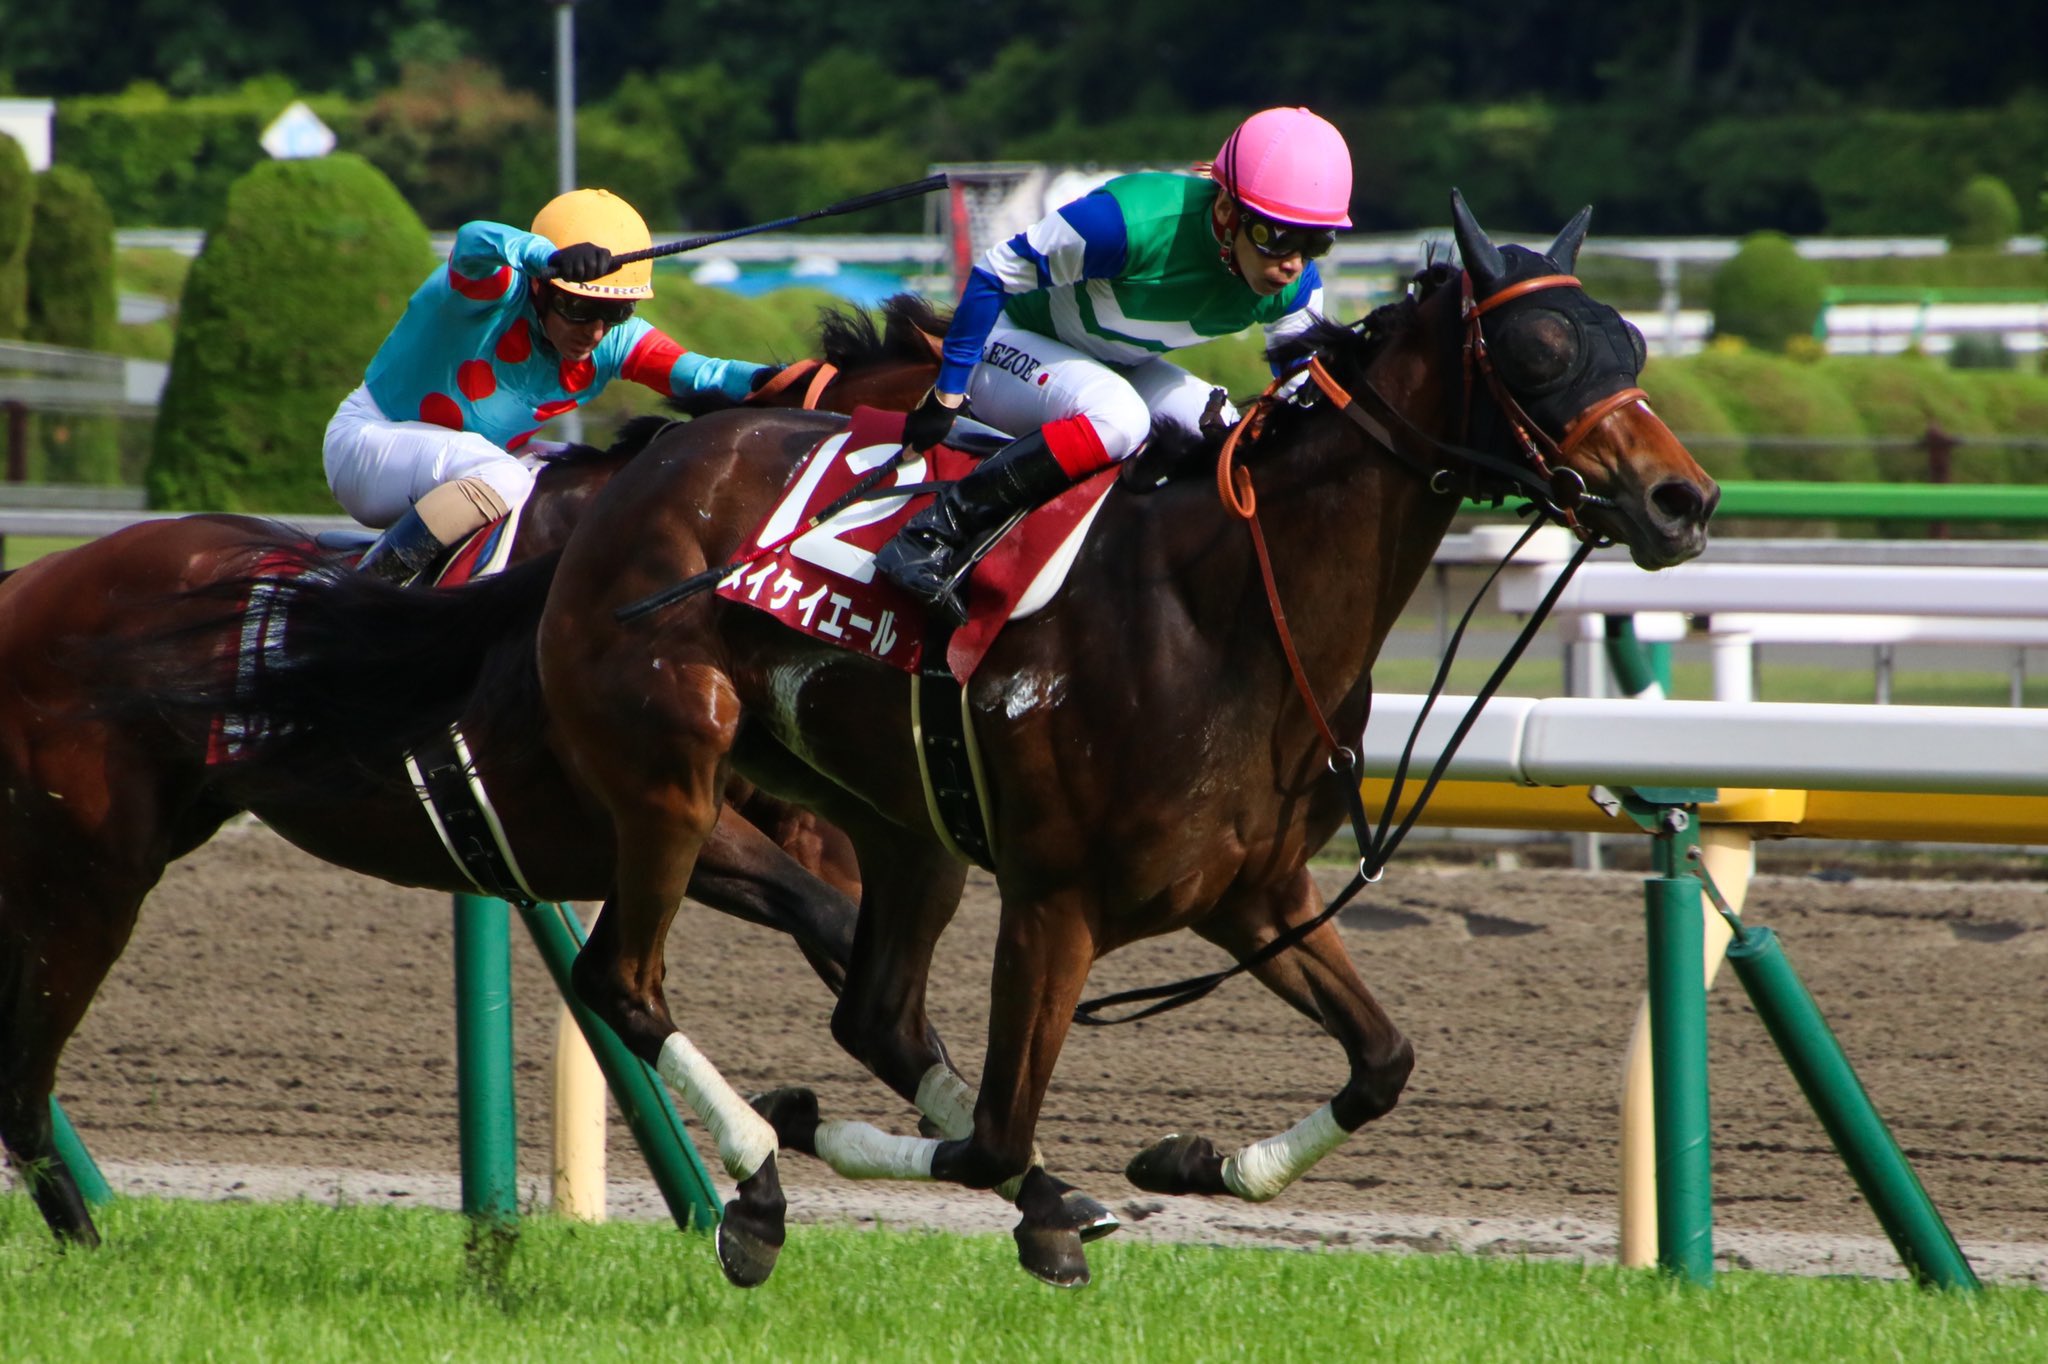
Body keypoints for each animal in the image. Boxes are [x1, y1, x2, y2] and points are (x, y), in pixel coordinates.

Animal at [0, 302, 1117, 1259]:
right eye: (1007, 432)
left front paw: (1045, 1190)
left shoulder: (804, 829)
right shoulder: (662, 814)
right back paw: (91, 1247)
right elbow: (830, 934)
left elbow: (871, 972)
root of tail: (33, 578)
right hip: (91, 870)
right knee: (26, 1076)